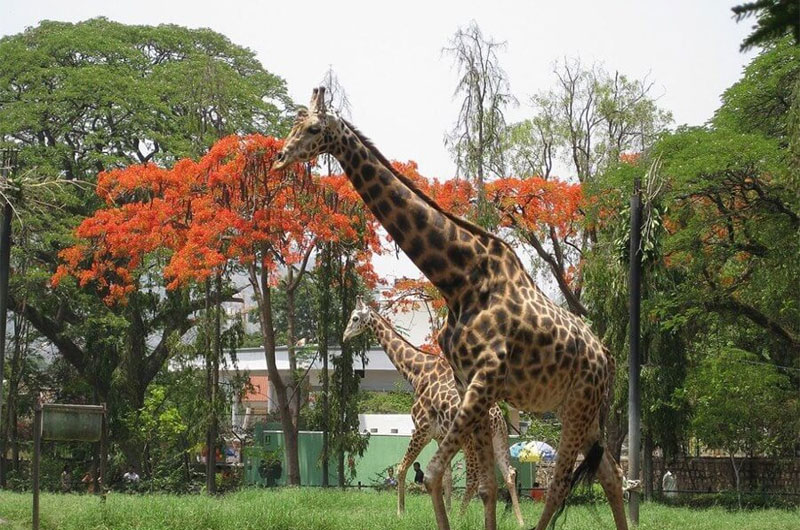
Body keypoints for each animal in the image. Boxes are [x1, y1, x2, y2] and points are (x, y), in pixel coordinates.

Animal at [342, 296, 524, 524]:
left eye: (355, 318)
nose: (344, 336)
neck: (416, 373)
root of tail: (498, 416)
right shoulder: (439, 436)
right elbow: (445, 477)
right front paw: (447, 510)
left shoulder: (422, 429)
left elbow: (402, 468)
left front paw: (401, 512)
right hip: (499, 437)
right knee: (509, 472)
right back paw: (519, 520)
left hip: (470, 441)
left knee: (474, 479)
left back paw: (462, 518)